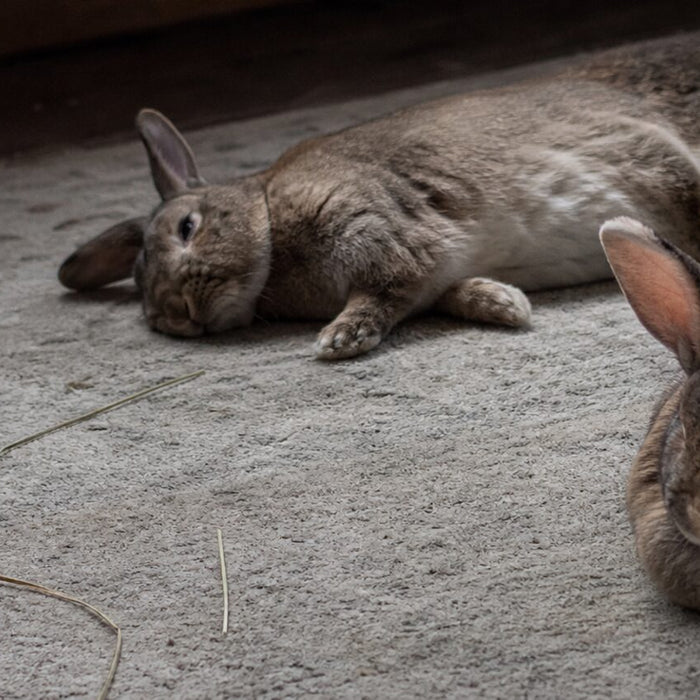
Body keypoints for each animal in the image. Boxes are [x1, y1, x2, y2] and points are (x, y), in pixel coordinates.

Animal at [58, 32, 700, 360]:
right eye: (143, 294)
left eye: (188, 228)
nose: (180, 315)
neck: (268, 213)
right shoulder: (431, 267)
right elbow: (442, 290)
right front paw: (504, 304)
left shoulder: (381, 228)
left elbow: (386, 288)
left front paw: (340, 339)